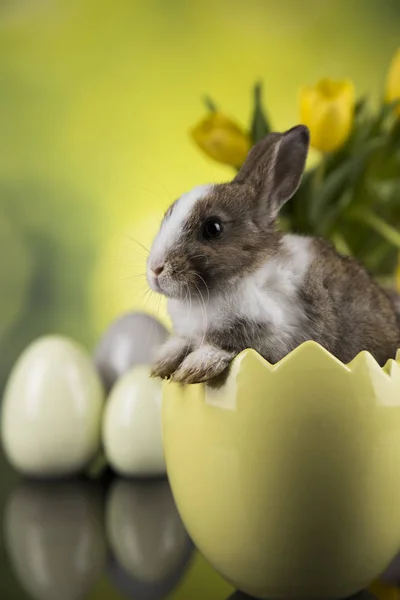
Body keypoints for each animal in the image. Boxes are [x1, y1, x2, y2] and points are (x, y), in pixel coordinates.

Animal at [145, 125, 400, 384]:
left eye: (213, 228)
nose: (156, 269)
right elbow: (182, 341)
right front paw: (161, 364)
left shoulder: (274, 338)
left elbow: (228, 346)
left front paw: (194, 368)